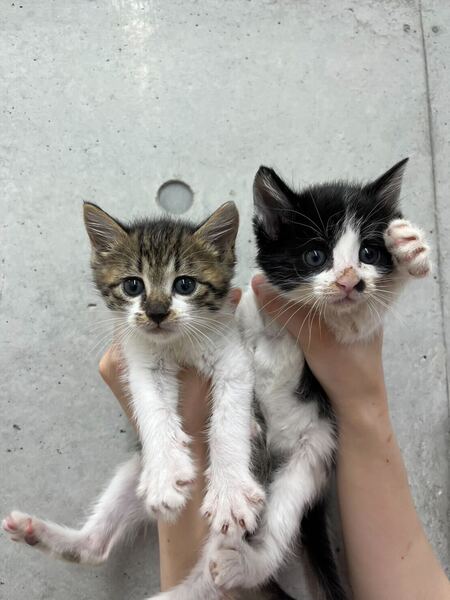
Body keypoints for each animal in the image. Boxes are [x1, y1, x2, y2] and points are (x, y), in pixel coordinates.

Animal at [3, 201, 265, 571]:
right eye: (132, 286)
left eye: (185, 285)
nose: (156, 313)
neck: (176, 344)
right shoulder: (139, 358)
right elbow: (152, 407)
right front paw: (166, 473)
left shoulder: (232, 355)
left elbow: (228, 422)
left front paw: (230, 493)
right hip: (134, 470)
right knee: (95, 549)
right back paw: (37, 531)